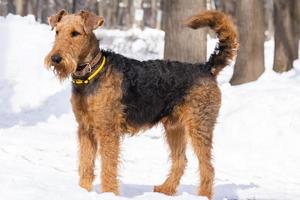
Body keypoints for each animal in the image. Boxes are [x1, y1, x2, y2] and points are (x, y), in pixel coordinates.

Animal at [43, 8, 238, 199]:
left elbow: (108, 167)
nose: (56, 58)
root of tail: (206, 68)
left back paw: (203, 195)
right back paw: (165, 189)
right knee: (181, 160)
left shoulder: (107, 130)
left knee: (208, 167)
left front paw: (109, 193)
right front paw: (83, 191)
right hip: (174, 127)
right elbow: (85, 165)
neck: (90, 74)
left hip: (199, 126)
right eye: (57, 32)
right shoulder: (85, 128)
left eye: (75, 33)